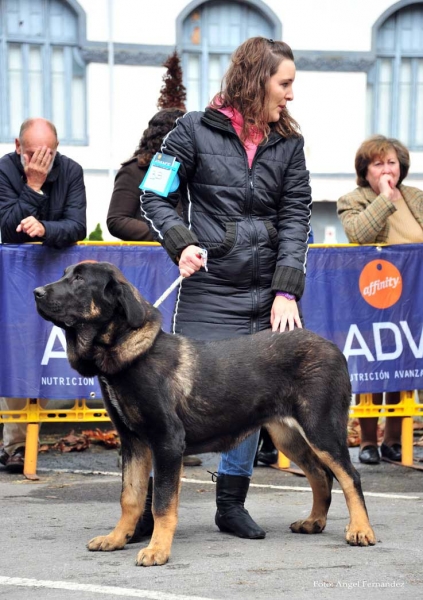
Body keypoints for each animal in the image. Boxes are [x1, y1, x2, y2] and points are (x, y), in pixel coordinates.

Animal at [34, 262, 378, 568]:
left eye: (79, 279)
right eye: (66, 274)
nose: (36, 292)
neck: (127, 352)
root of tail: (334, 348)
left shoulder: (168, 441)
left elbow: (162, 503)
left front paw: (157, 550)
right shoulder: (133, 443)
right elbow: (130, 497)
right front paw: (118, 538)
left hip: (320, 427)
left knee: (350, 476)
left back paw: (361, 530)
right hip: (287, 436)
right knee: (320, 475)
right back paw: (314, 521)